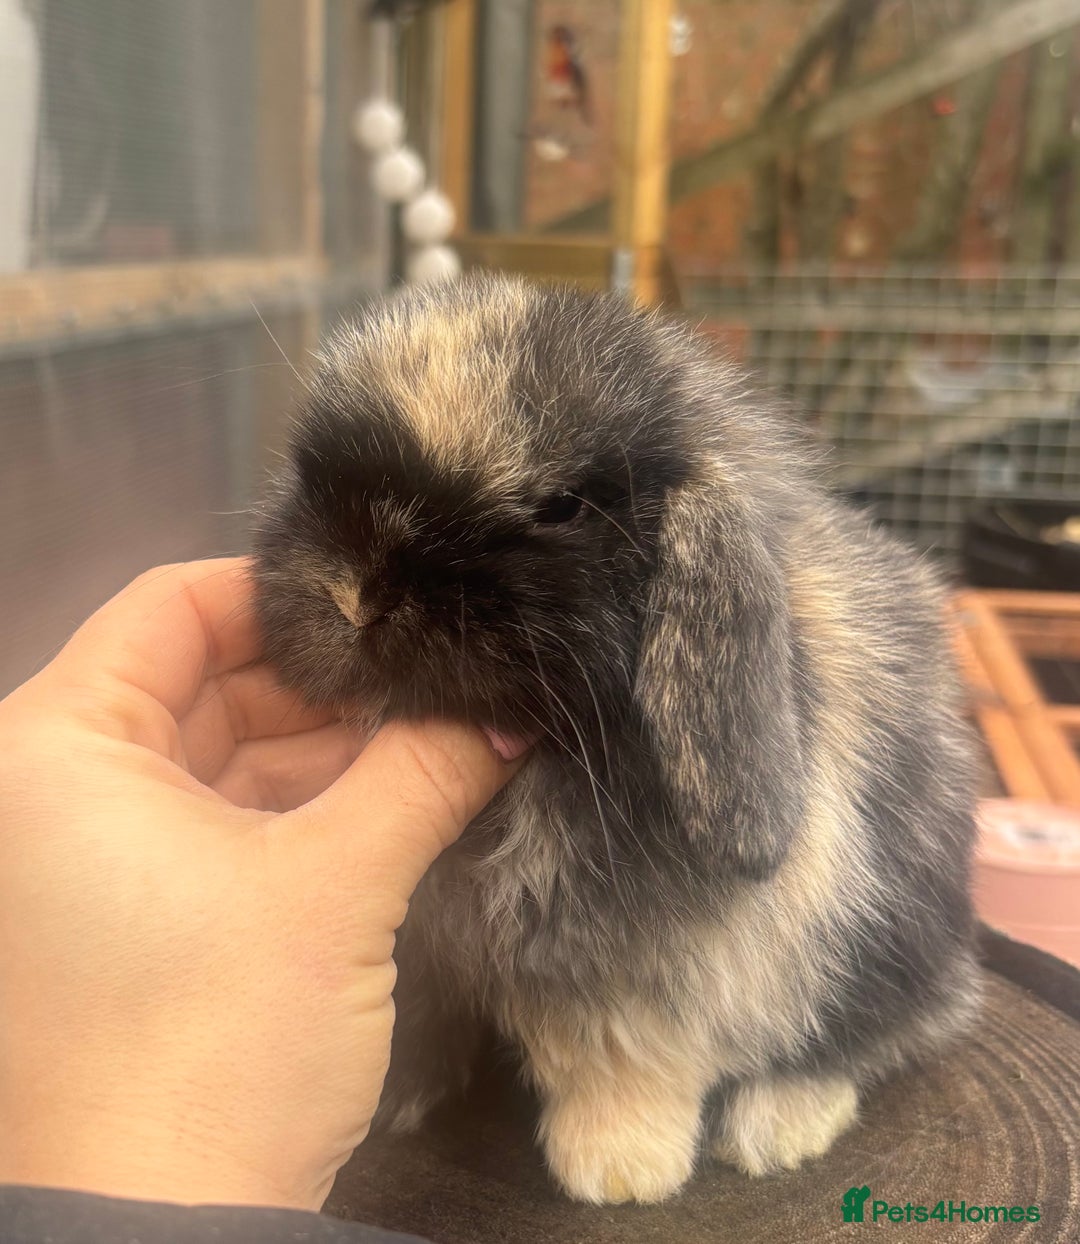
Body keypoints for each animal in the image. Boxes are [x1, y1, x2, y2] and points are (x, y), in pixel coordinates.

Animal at [251, 273, 981, 1205]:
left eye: (560, 506)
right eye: (312, 474)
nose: (353, 596)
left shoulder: (644, 975)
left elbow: (616, 1057)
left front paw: (619, 1170)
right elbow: (412, 1022)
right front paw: (386, 1103)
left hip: (896, 941)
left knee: (879, 1032)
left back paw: (778, 1126)